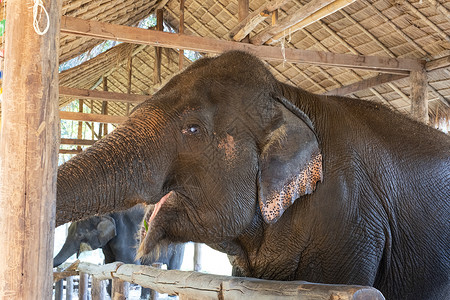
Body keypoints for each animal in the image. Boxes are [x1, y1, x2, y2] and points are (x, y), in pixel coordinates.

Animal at [53, 203, 185, 298]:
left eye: (79, 235)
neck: (107, 213)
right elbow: (110, 264)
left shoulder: (126, 234)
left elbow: (128, 264)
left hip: (178, 247)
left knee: (174, 266)